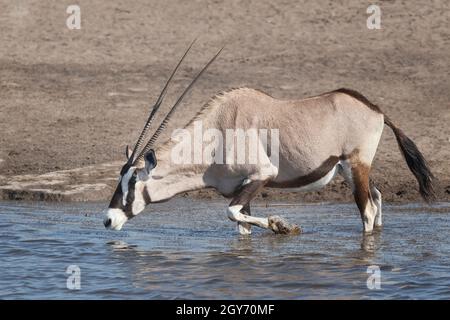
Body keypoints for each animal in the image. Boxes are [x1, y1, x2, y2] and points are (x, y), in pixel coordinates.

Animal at [103, 42, 434, 234]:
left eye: (133, 182)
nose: (108, 220)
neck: (216, 135)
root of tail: (376, 109)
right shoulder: (241, 189)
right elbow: (239, 223)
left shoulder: (261, 175)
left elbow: (231, 212)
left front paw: (283, 226)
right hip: (352, 170)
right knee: (377, 199)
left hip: (356, 166)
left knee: (367, 210)